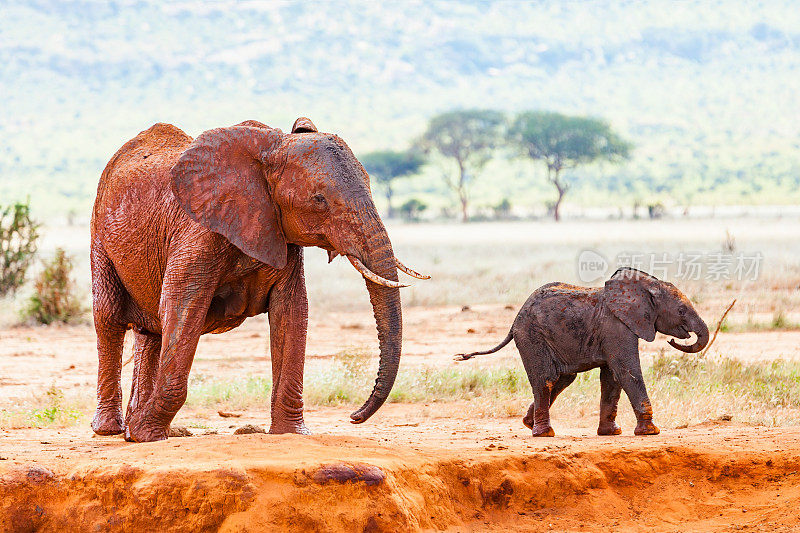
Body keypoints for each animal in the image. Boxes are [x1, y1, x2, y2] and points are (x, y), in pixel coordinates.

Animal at [90, 116, 428, 440]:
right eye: (319, 199)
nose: (354, 417)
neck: (270, 150)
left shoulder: (281, 235)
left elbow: (291, 312)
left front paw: (291, 433)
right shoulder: (197, 232)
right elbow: (183, 308)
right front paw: (146, 435)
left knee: (151, 331)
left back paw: (132, 429)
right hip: (100, 232)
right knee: (109, 318)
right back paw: (112, 429)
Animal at [454, 266, 708, 436]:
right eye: (682, 310)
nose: (674, 339)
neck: (646, 286)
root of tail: (515, 319)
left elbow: (612, 377)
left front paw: (611, 433)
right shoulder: (616, 326)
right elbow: (626, 371)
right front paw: (651, 431)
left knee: (562, 379)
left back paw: (529, 423)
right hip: (530, 336)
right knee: (545, 379)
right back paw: (544, 433)